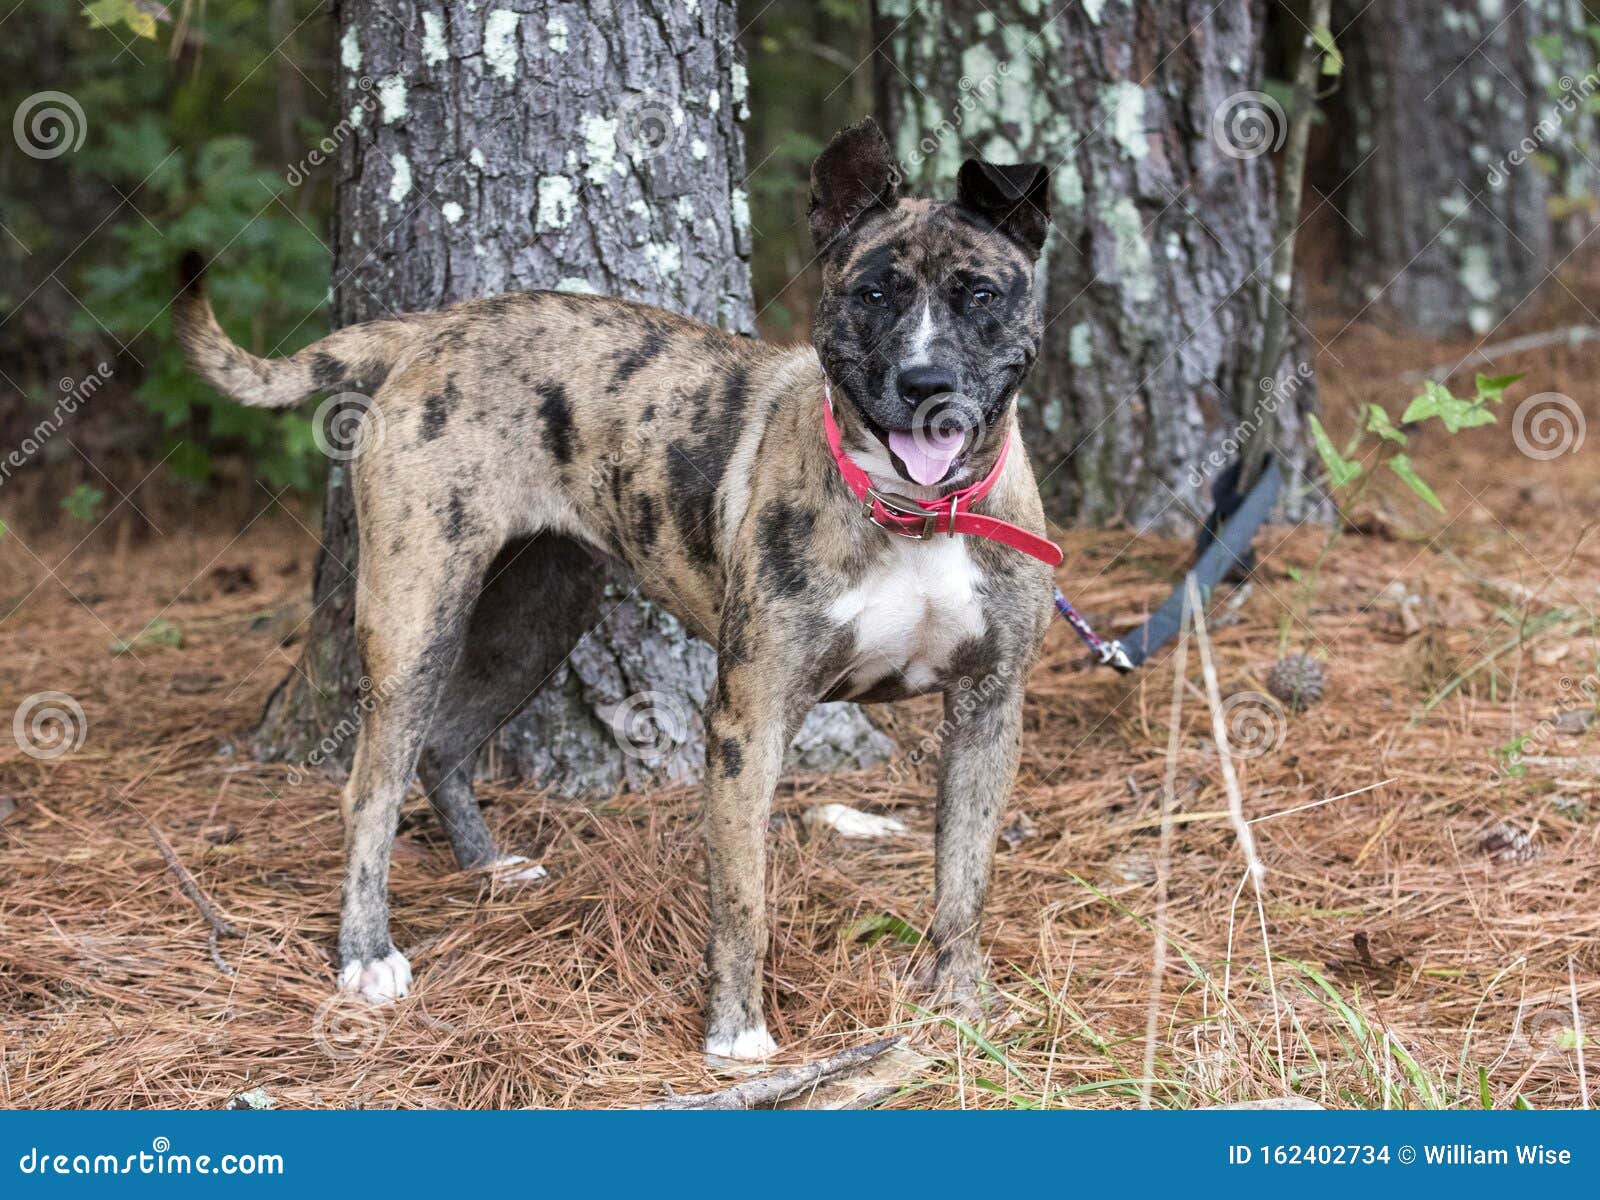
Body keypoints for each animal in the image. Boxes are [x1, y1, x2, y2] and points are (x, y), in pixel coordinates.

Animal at [175, 120, 1056, 1062]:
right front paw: (736, 1032)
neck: (918, 515)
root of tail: (438, 325)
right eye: (875, 293)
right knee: (370, 790)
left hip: (540, 612)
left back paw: (490, 869)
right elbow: (742, 897)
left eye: (980, 295)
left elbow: (964, 879)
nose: (927, 387)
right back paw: (367, 955)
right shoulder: (750, 720)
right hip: (418, 616)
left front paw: (960, 1011)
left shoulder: (989, 708)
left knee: (446, 747)